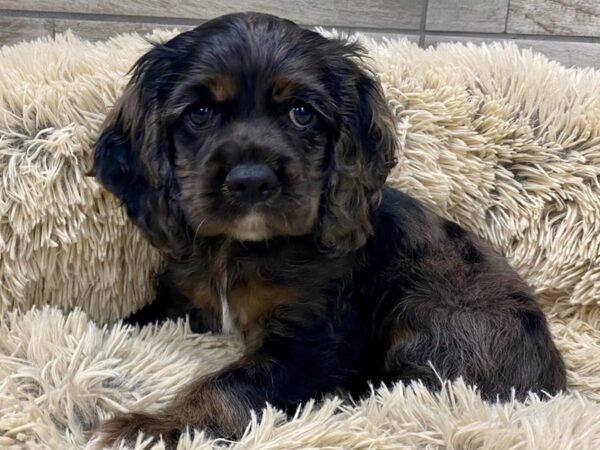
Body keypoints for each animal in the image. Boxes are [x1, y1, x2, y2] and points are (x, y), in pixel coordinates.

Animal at [90, 12, 568, 448]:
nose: (251, 181)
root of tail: (555, 387)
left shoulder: (310, 340)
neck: (239, 248)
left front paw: (151, 427)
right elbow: (132, 321)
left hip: (438, 312)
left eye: (301, 113)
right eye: (201, 112)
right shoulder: (184, 301)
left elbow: (229, 384)